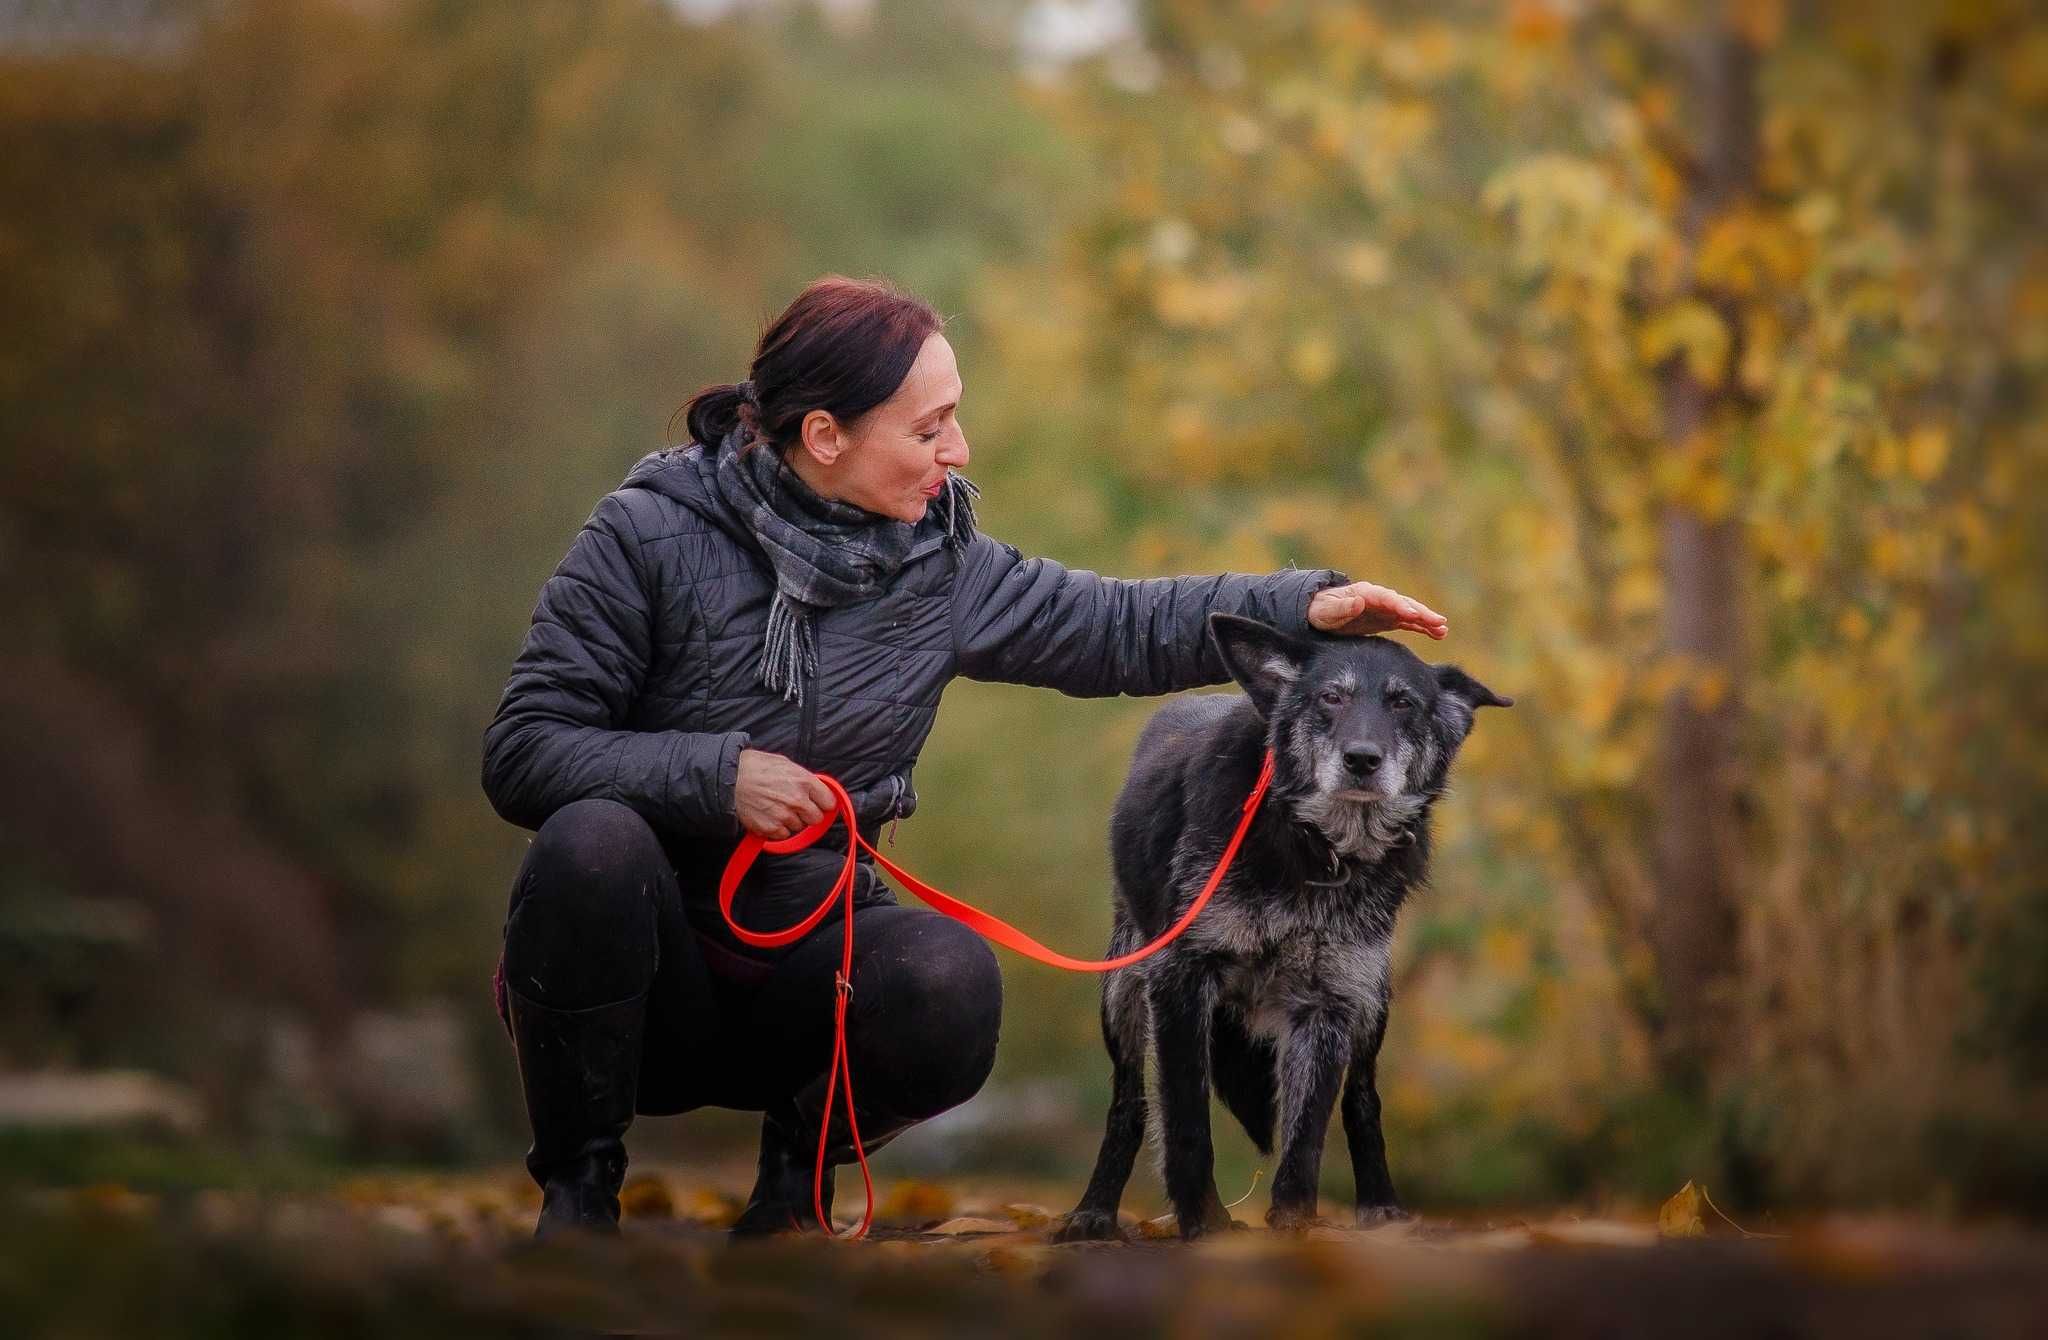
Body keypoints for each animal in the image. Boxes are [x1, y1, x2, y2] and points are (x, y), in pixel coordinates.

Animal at [1056, 614, 1507, 1245]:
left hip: (1372, 1003)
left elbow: (1308, 1131)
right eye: (1331, 697)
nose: (1362, 759)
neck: (1318, 851)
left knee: (1362, 1099)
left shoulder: (1331, 1001)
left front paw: (1294, 1224)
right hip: (1122, 993)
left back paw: (1382, 1206)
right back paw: (1094, 1212)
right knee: (1129, 1103)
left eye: (1403, 703)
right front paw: (1205, 1223)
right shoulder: (1180, 980)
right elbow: (1186, 1119)